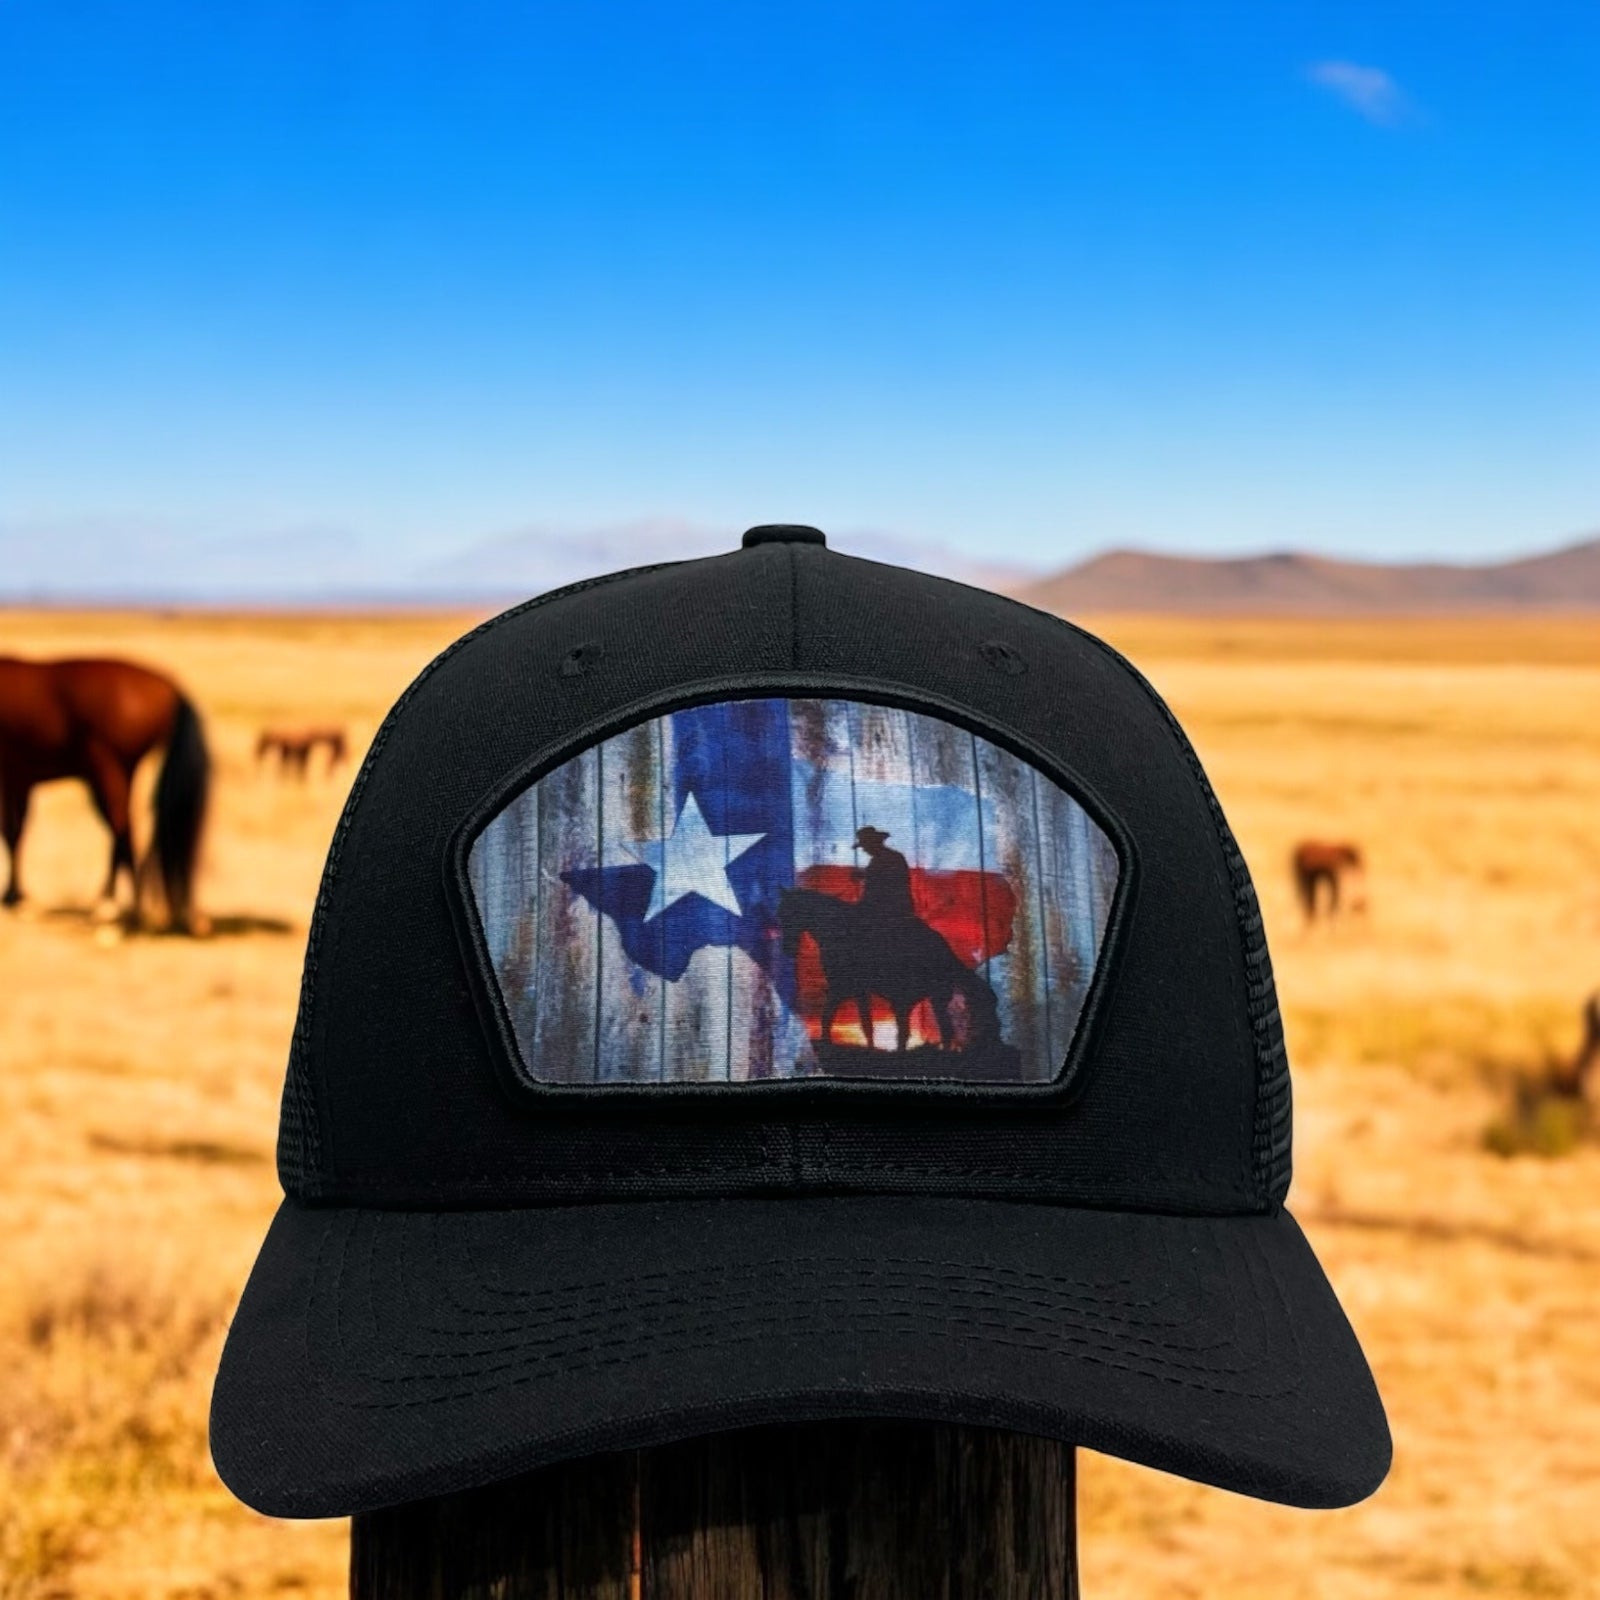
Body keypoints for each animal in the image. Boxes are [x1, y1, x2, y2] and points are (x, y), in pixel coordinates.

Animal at [0, 652, 211, 934]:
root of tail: (172, 689)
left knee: (121, 827)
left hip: (106, 770)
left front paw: (15, 898)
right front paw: (16, 897)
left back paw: (114, 906)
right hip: (119, 772)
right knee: (125, 830)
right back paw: (130, 906)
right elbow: (15, 834)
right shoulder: (19, 781)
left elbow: (10, 833)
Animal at [777, 889, 998, 1049]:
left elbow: (839, 1018)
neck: (837, 930)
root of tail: (945, 950)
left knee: (926, 1031)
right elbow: (854, 1021)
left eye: (789, 913)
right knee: (938, 1030)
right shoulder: (852, 990)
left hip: (924, 997)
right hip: (931, 998)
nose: (787, 949)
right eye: (780, 915)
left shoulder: (844, 987)